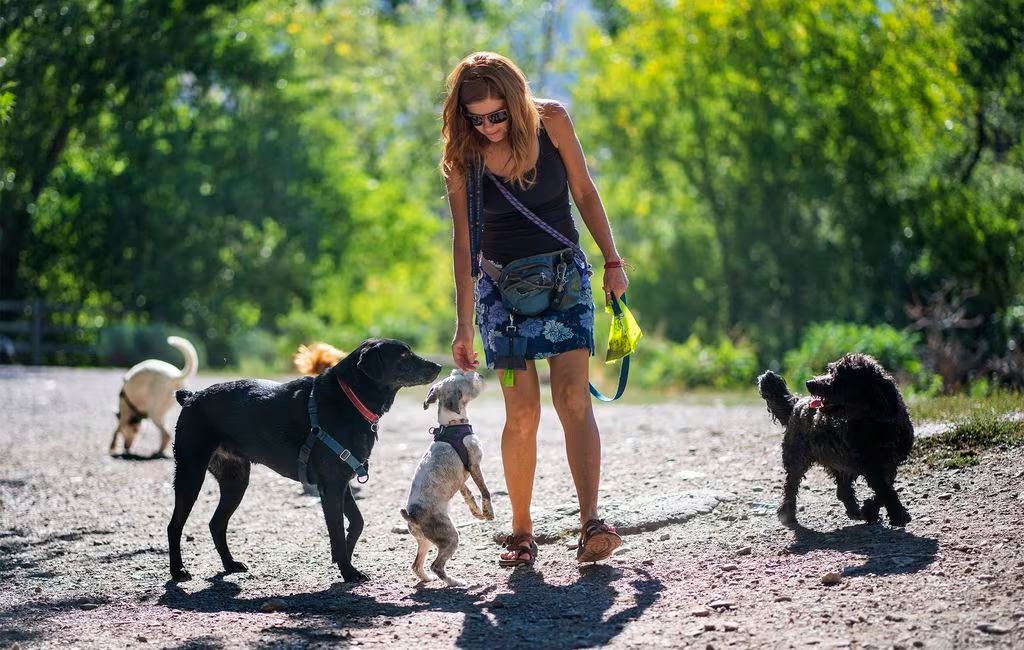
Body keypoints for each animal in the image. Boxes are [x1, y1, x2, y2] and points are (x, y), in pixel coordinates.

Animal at [166, 337, 440, 581]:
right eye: (403, 355)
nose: (438, 366)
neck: (350, 398)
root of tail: (191, 397)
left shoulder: (342, 482)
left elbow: (357, 522)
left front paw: (343, 556)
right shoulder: (331, 486)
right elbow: (337, 530)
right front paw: (348, 571)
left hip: (236, 481)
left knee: (216, 523)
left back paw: (230, 564)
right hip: (190, 474)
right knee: (175, 525)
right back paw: (178, 571)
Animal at [399, 368, 491, 585]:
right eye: (468, 378)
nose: (481, 374)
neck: (452, 425)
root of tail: (412, 516)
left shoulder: (461, 478)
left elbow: (469, 494)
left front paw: (477, 512)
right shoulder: (474, 465)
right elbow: (484, 491)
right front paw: (487, 512)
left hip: (424, 541)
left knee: (416, 565)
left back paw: (427, 579)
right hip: (450, 537)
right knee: (437, 565)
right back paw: (455, 582)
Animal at [757, 356, 917, 528]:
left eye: (838, 376)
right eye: (830, 370)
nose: (809, 383)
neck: (876, 423)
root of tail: (797, 403)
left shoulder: (889, 464)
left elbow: (885, 490)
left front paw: (870, 510)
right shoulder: (871, 464)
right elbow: (885, 490)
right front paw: (898, 514)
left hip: (842, 461)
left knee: (843, 489)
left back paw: (855, 511)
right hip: (797, 457)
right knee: (791, 485)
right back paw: (787, 513)